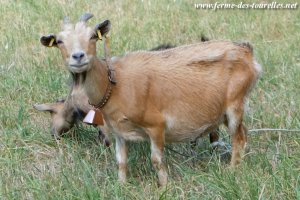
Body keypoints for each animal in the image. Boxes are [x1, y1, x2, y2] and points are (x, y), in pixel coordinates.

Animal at [41, 13, 262, 186]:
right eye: (59, 41)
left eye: (92, 36)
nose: (78, 56)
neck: (115, 84)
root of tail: (247, 52)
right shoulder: (118, 132)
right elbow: (121, 161)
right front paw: (122, 186)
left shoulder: (156, 126)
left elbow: (156, 160)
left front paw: (163, 187)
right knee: (241, 133)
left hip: (235, 104)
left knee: (239, 137)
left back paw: (232, 171)